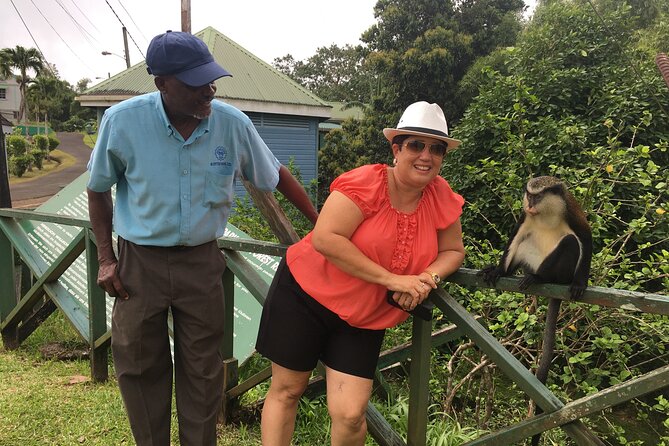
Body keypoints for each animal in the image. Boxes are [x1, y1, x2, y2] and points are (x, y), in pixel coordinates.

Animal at [480, 176, 588, 444]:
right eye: (529, 195)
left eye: (538, 196)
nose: (530, 203)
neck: (545, 213)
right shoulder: (524, 217)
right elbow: (517, 234)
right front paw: (498, 270)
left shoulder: (571, 210)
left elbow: (585, 237)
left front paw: (581, 283)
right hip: (528, 259)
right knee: (524, 242)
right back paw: (508, 272)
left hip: (558, 272)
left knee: (570, 243)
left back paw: (540, 278)